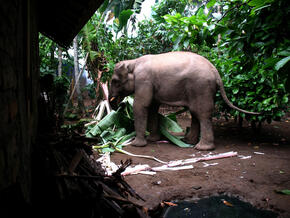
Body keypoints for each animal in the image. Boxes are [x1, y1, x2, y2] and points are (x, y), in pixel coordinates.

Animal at [109, 51, 258, 150]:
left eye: (114, 81)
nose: (118, 104)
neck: (133, 62)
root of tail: (216, 72)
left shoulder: (144, 80)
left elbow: (141, 106)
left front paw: (136, 144)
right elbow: (152, 107)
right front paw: (153, 140)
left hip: (201, 86)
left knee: (202, 113)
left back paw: (202, 148)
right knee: (196, 112)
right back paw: (189, 141)